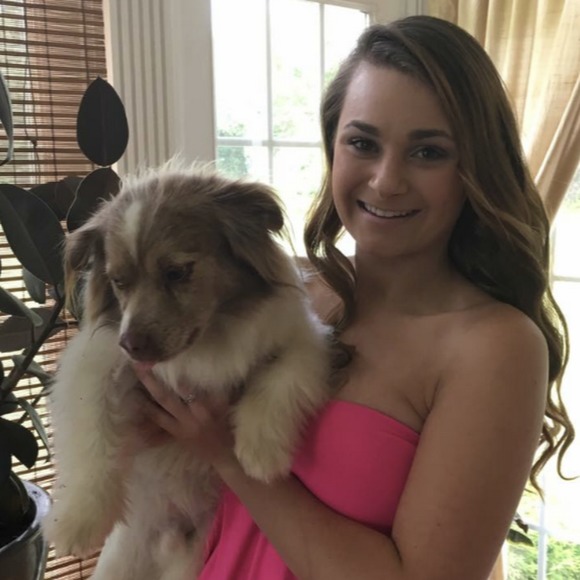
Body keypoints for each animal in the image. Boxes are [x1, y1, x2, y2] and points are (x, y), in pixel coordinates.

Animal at [43, 164, 333, 579]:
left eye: (177, 272)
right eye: (118, 282)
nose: (131, 345)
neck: (205, 345)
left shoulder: (304, 342)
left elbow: (281, 382)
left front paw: (261, 453)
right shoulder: (93, 365)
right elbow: (92, 433)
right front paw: (78, 523)